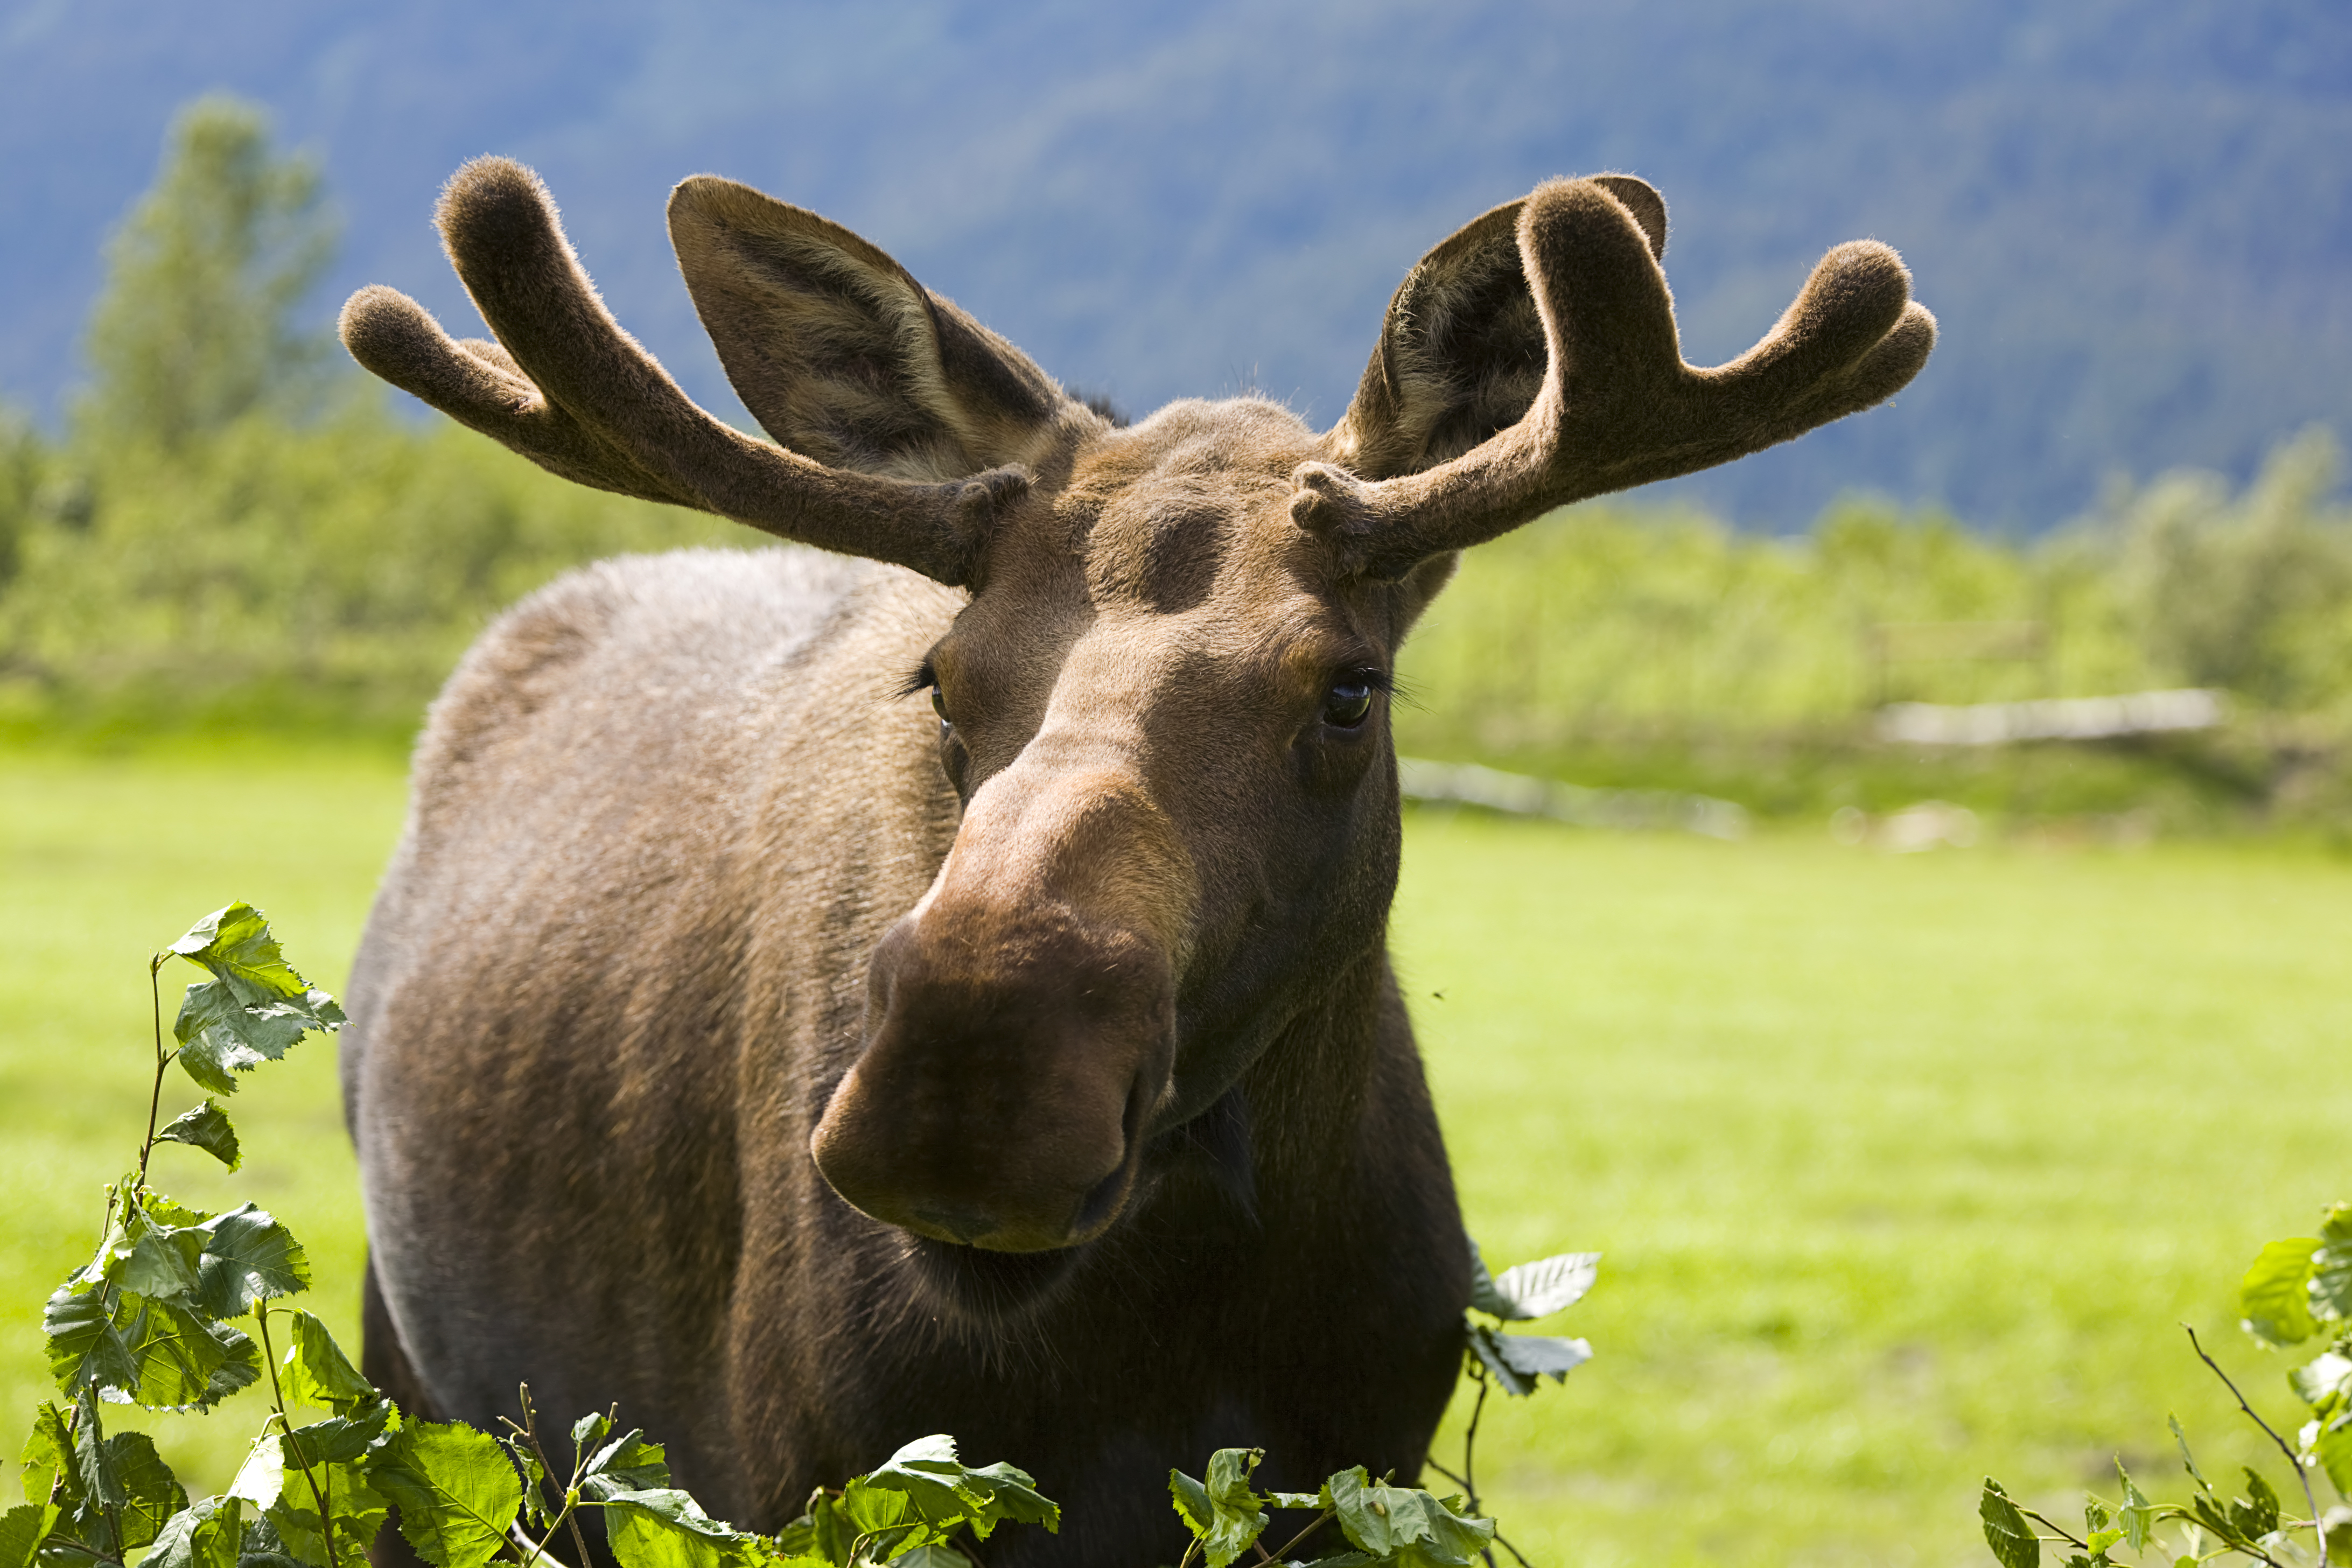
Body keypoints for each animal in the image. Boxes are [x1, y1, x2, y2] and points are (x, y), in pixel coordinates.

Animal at [335, 156, 1931, 1567]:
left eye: (1349, 689)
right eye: (942, 677)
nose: (973, 1083)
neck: (1161, 1347)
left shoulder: (1357, 1484)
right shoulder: (784, 1479)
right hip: (412, 1389)